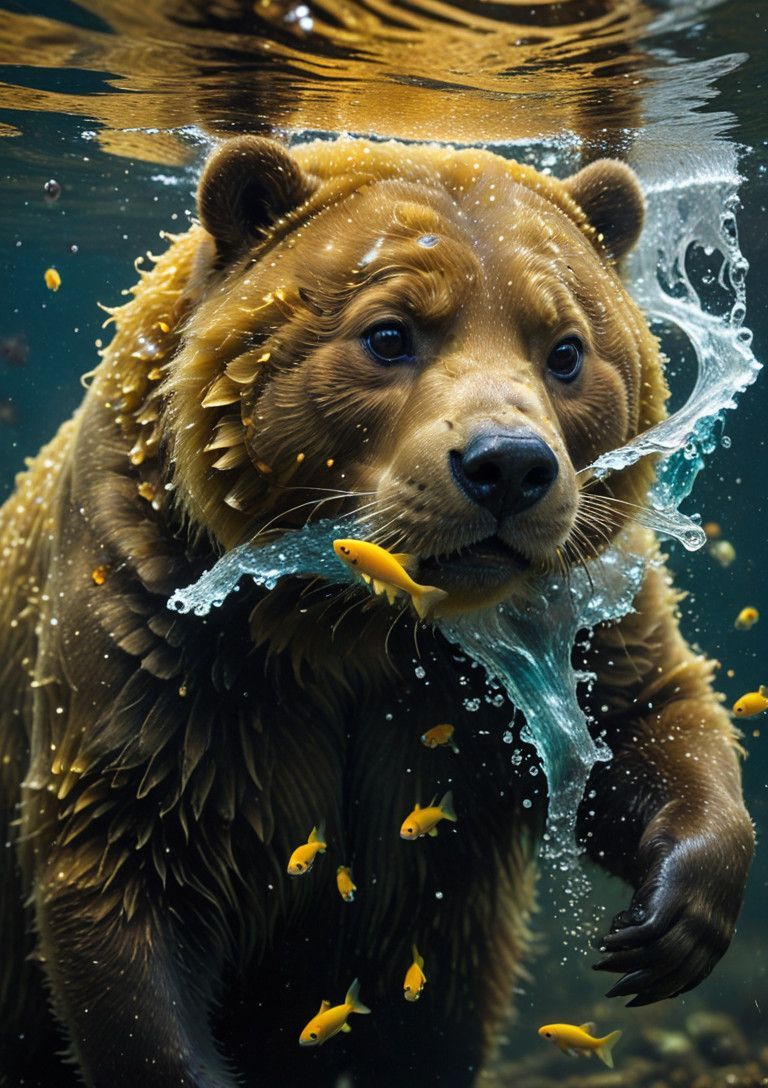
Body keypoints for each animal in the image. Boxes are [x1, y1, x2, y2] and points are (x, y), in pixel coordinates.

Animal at [0, 136, 753, 1088]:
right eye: (390, 333)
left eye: (566, 349)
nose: (508, 466)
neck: (352, 622)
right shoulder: (161, 631)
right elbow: (124, 872)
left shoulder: (574, 607)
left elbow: (649, 710)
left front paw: (670, 921)